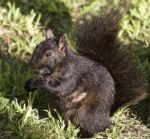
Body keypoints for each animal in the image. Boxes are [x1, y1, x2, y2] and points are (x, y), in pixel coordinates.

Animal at [24, 8, 146, 136]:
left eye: (48, 54)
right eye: (37, 46)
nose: (31, 64)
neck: (59, 65)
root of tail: (106, 116)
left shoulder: (72, 75)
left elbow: (62, 87)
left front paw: (40, 82)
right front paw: (30, 83)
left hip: (86, 113)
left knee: (95, 129)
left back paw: (83, 134)